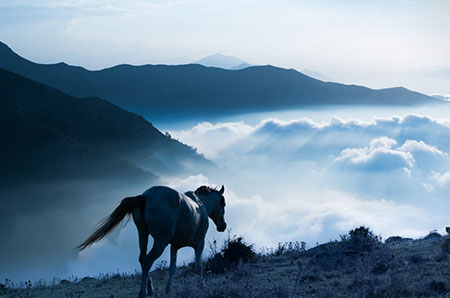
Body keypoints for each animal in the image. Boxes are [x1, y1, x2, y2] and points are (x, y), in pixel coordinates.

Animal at [76, 185, 229, 296]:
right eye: (223, 203)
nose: (223, 225)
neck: (200, 205)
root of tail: (144, 196)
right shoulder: (199, 244)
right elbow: (199, 265)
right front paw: (201, 285)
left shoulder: (174, 246)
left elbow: (172, 268)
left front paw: (168, 289)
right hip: (160, 241)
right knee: (148, 260)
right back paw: (143, 292)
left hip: (143, 235)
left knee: (142, 258)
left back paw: (150, 289)